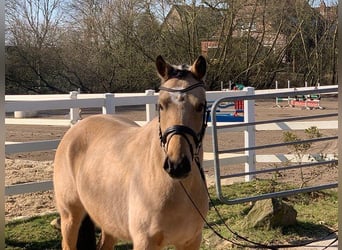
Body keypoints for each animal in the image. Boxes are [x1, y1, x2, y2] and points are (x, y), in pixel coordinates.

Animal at [53, 55, 208, 249]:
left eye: (200, 106)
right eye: (161, 106)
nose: (177, 165)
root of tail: (76, 127)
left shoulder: (191, 241)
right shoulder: (145, 242)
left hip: (107, 221)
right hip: (70, 217)